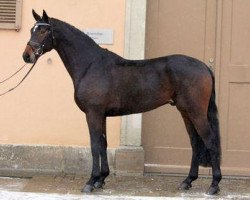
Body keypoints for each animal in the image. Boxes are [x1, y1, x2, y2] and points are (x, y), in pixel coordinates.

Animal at [22, 10, 222, 195]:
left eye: (43, 31)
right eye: (32, 29)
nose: (26, 56)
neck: (90, 65)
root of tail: (205, 67)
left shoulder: (93, 113)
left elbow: (94, 145)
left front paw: (90, 181)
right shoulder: (101, 115)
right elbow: (103, 144)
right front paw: (101, 179)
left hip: (196, 112)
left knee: (210, 141)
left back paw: (214, 185)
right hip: (185, 112)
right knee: (195, 142)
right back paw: (187, 181)